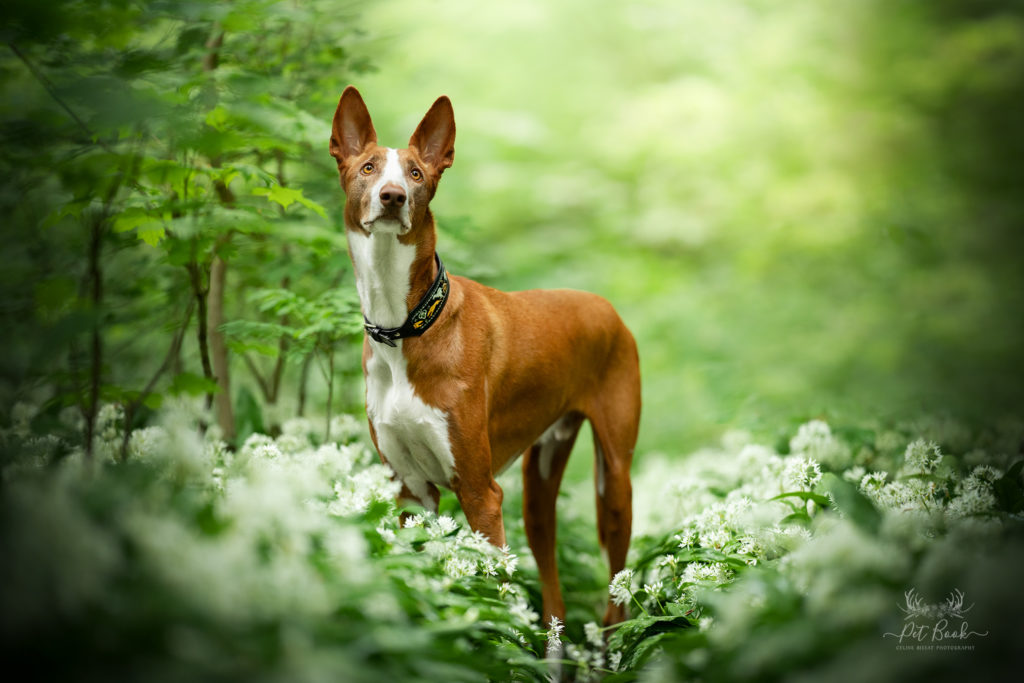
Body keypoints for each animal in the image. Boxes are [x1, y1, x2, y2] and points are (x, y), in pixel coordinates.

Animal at [327, 87, 638, 626]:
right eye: (368, 167)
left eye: (416, 174)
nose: (393, 196)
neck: (404, 327)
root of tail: (608, 308)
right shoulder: (410, 490)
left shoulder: (481, 494)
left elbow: (495, 602)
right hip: (538, 489)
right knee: (552, 592)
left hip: (615, 482)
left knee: (615, 590)